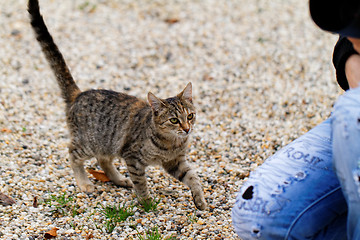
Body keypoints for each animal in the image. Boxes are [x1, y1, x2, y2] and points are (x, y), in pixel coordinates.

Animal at [27, 0, 207, 210]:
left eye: (190, 116)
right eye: (174, 120)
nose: (187, 129)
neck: (172, 143)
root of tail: (79, 94)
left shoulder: (175, 162)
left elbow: (193, 177)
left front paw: (200, 199)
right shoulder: (133, 159)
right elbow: (141, 183)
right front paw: (146, 203)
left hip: (108, 143)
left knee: (103, 160)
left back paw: (119, 179)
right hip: (90, 142)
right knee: (73, 153)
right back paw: (84, 182)